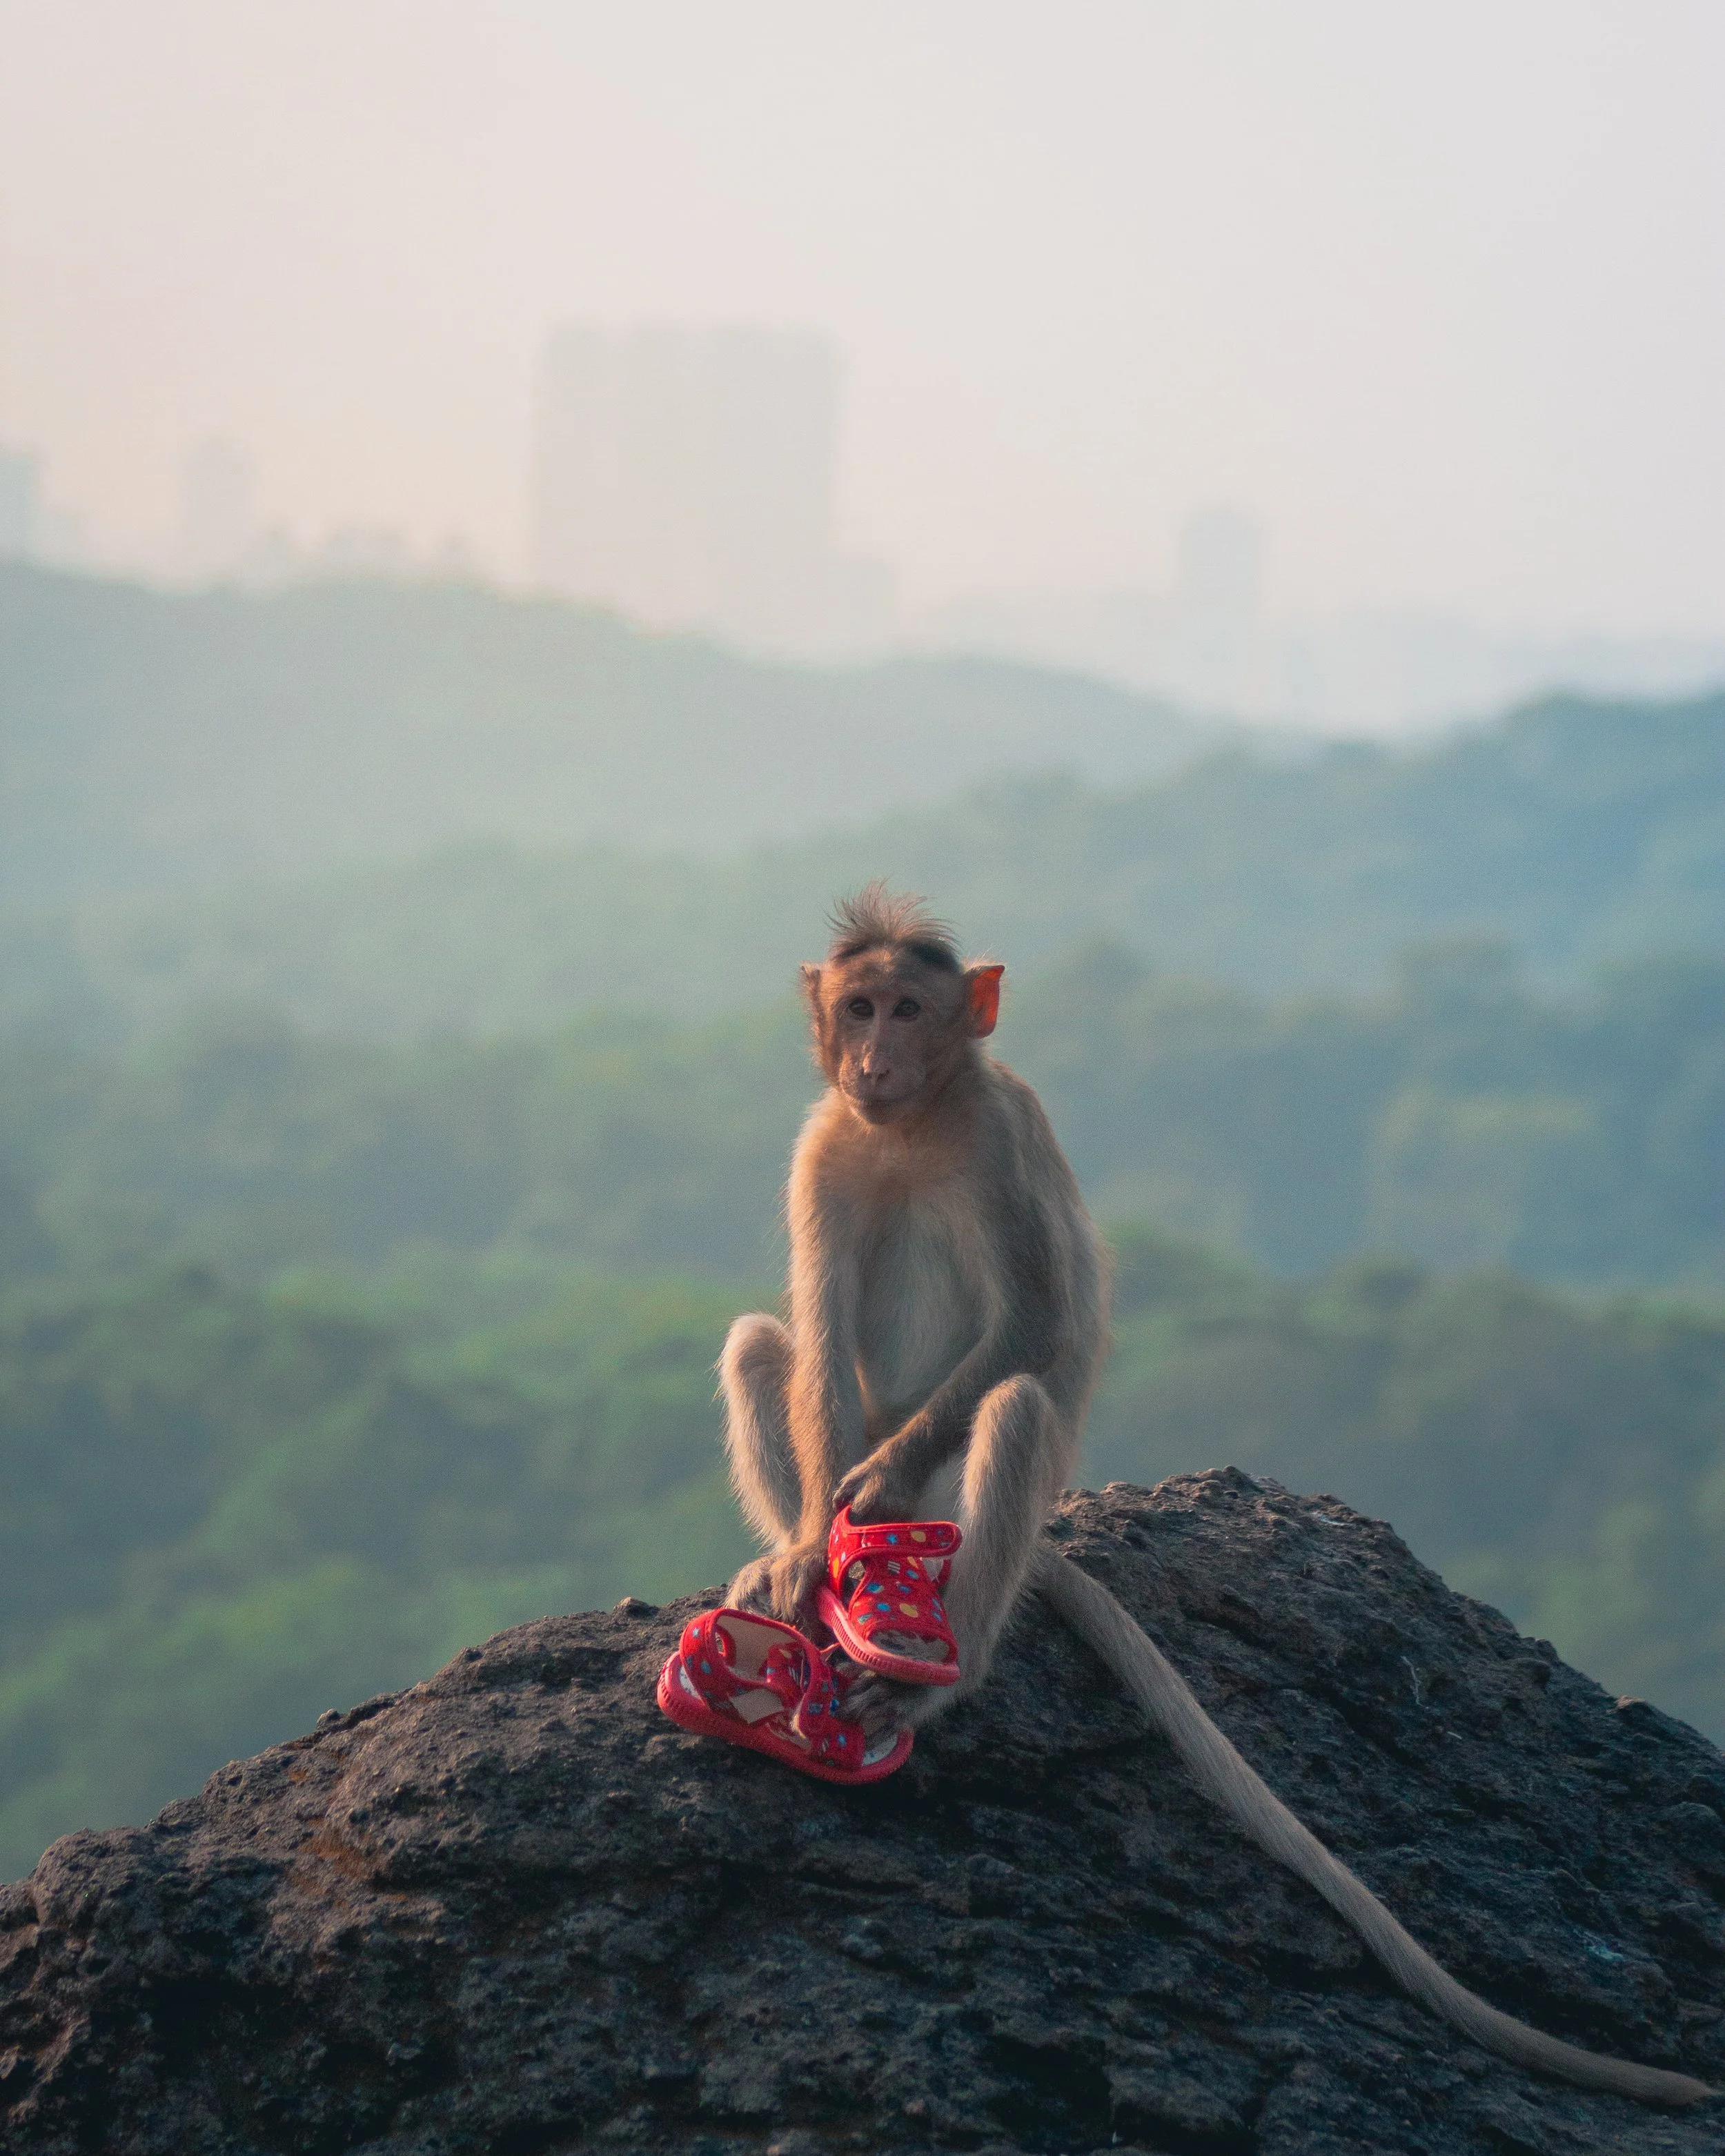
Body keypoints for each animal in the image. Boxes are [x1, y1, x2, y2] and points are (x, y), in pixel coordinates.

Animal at [717, 883, 1715, 2109]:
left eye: (909, 1008)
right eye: (859, 1006)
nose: (872, 1058)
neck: (911, 1127)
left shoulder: (998, 1137)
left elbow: (1035, 1326)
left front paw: (877, 1489)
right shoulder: (825, 1149)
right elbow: (812, 1346)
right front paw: (816, 1545)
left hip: (983, 1511)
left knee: (1016, 1411)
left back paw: (925, 1670)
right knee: (761, 1344)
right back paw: (805, 1566)